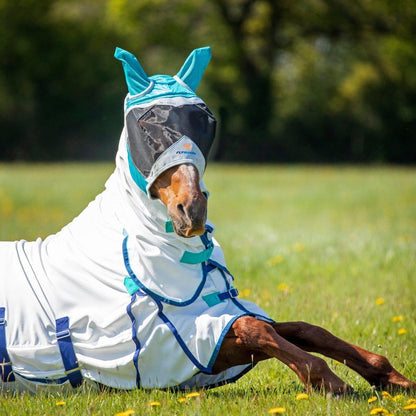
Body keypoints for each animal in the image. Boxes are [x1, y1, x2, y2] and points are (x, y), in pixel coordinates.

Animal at [0, 47, 416, 394]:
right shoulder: (176, 343)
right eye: (146, 128)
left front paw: (391, 378)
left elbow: (298, 327)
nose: (193, 210)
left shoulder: (214, 325)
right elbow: (256, 328)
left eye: (205, 121)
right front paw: (331, 383)